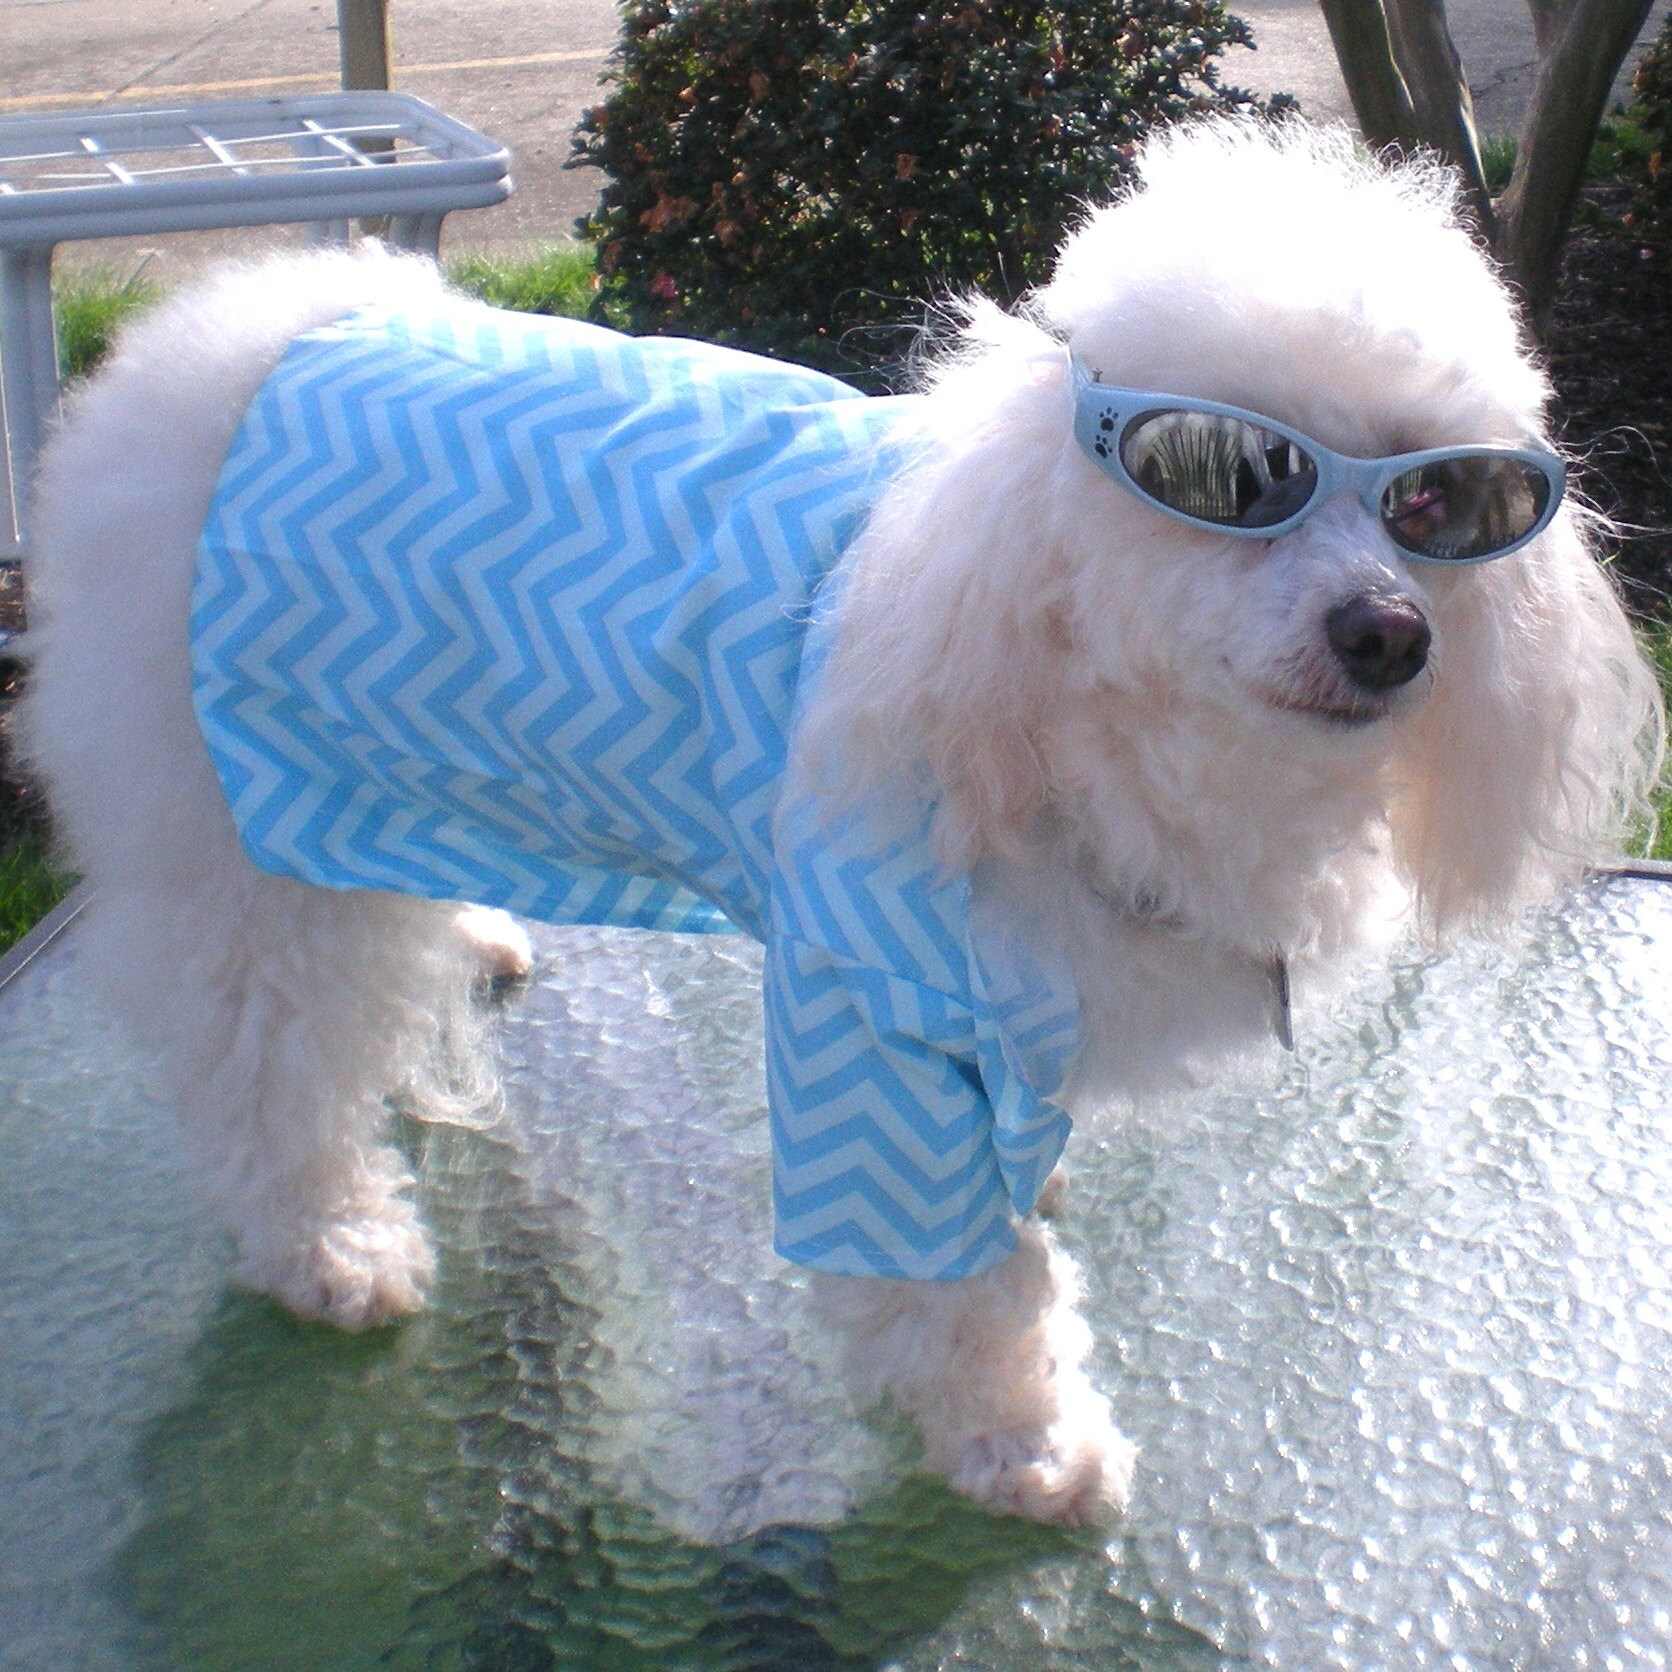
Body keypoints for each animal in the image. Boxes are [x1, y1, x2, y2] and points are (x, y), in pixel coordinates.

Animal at [16, 121, 1658, 1531]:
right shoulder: (877, 1022)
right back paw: (330, 1245)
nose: (1389, 634)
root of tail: (236, 337)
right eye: (1234, 475)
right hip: (230, 826)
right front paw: (1027, 1444)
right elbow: (962, 1290)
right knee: (262, 1061)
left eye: (1442, 505)